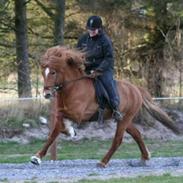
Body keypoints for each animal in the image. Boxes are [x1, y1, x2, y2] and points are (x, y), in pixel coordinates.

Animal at [30, 45, 179, 167]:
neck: (73, 87)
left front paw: (71, 131)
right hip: (124, 119)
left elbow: (61, 127)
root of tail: (136, 89)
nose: (47, 94)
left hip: (125, 119)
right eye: (43, 73)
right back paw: (145, 157)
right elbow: (53, 133)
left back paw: (103, 162)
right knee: (136, 134)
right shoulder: (62, 114)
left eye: (53, 72)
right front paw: (37, 157)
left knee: (118, 140)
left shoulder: (79, 115)